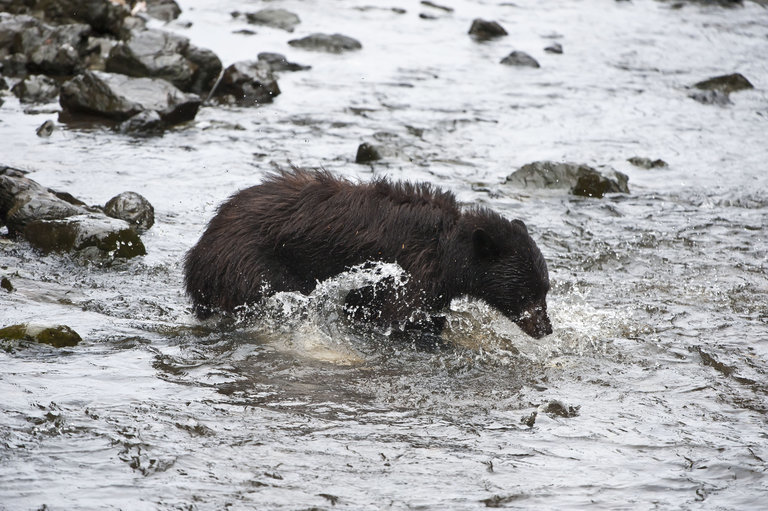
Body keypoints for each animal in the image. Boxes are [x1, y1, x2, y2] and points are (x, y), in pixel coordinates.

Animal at [184, 168, 552, 342]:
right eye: (527, 292)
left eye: (545, 290)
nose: (546, 328)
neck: (449, 250)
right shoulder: (413, 272)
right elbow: (389, 312)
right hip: (251, 264)